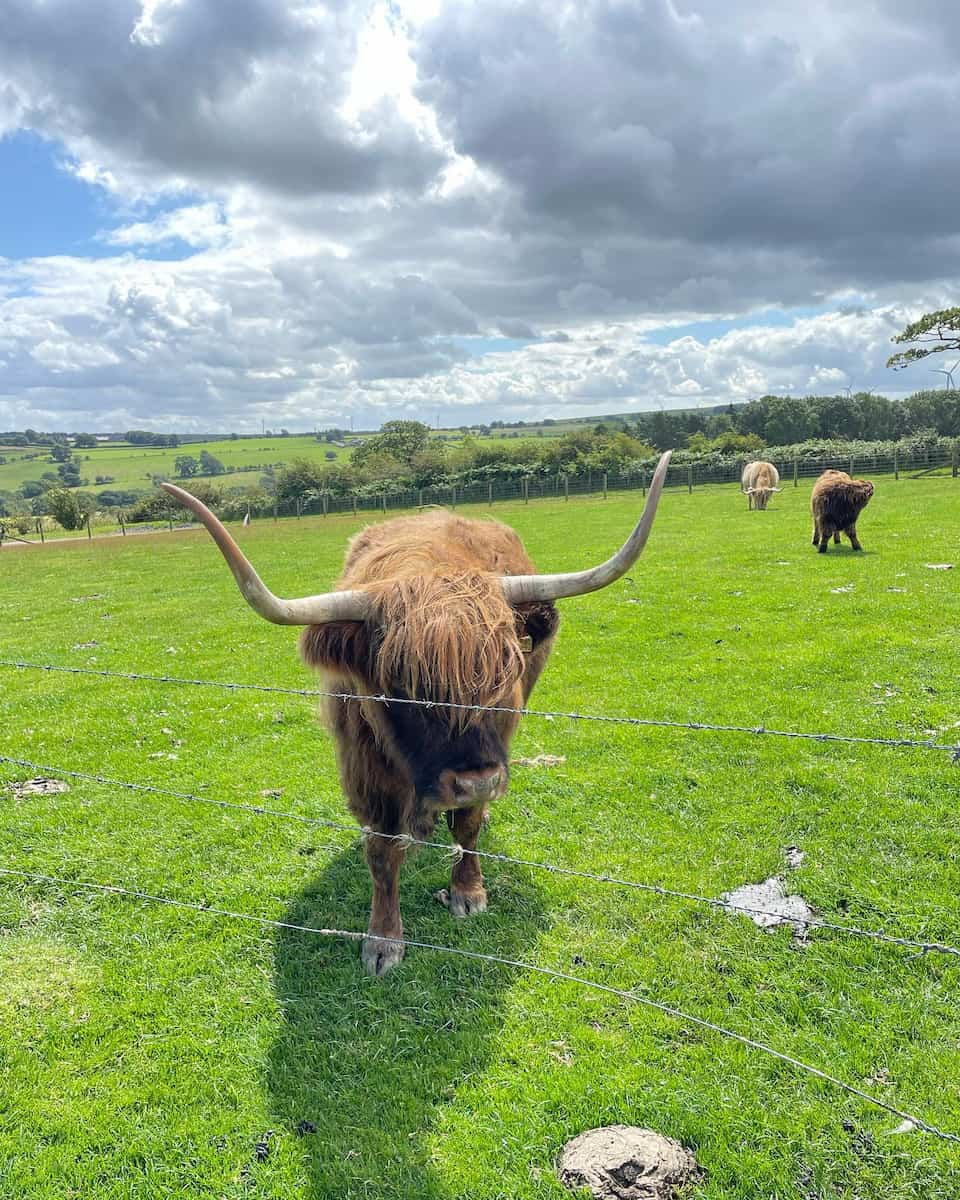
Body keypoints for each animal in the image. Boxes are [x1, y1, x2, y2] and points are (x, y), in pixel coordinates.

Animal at [159, 451, 667, 974]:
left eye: (504, 672)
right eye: (401, 686)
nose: (476, 781)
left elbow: (466, 826)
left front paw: (468, 891)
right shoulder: (364, 770)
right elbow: (382, 852)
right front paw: (383, 940)